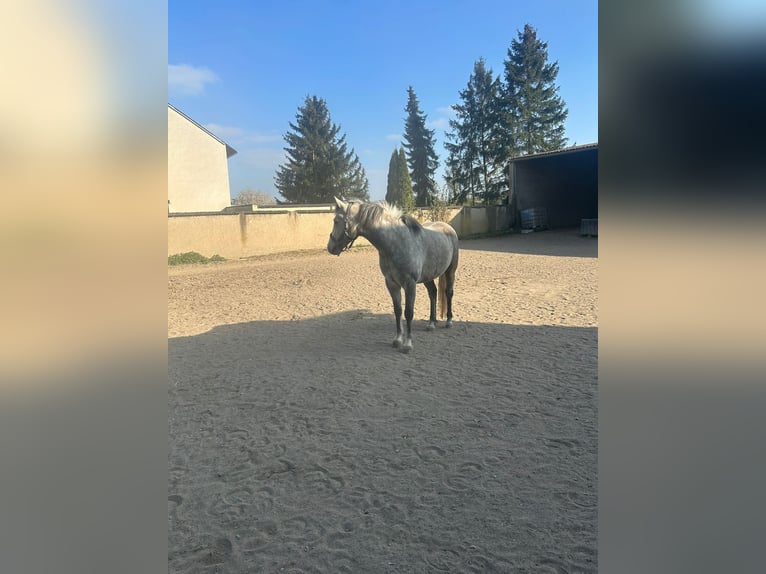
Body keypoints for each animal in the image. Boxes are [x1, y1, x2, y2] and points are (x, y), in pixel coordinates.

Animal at [327, 197, 459, 353]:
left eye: (336, 220)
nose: (330, 247)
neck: (395, 242)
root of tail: (448, 228)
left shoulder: (410, 284)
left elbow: (408, 312)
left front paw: (407, 344)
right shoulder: (391, 283)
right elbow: (398, 311)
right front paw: (397, 340)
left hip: (450, 271)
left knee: (448, 293)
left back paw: (449, 321)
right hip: (428, 276)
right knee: (433, 293)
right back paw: (431, 323)